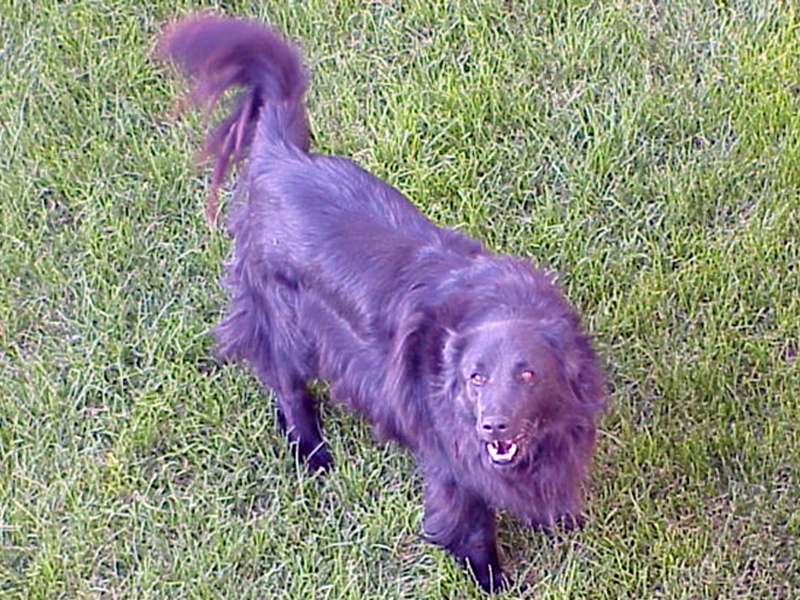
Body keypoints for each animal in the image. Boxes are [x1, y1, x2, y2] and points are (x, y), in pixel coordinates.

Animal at [158, 15, 604, 592]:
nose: (493, 425)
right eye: (474, 378)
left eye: (528, 374)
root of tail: (281, 155)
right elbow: (470, 527)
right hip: (284, 320)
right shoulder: (449, 464)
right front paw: (492, 581)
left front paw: (563, 522)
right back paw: (312, 453)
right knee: (285, 384)